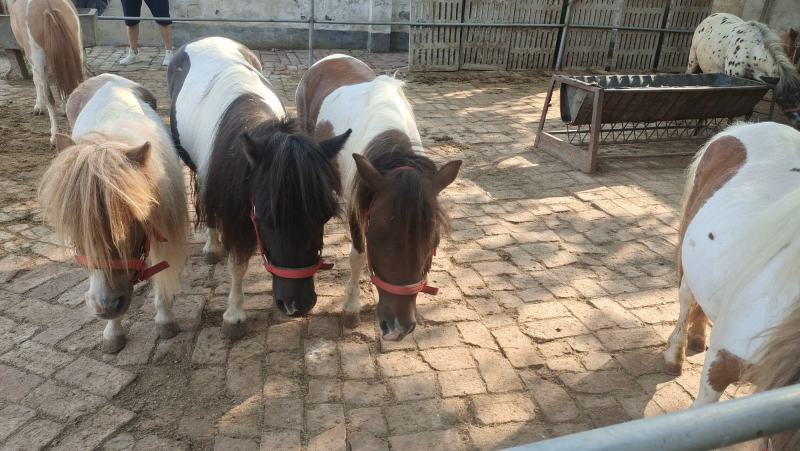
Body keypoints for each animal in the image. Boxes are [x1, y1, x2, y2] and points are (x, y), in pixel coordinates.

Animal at [8, 0, 84, 144]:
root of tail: (48, 8)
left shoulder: (34, 60)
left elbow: (36, 81)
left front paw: (38, 106)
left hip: (37, 57)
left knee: (49, 97)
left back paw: (54, 136)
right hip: (77, 53)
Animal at [38, 74, 189, 353]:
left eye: (132, 222)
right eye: (73, 227)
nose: (105, 307)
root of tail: (106, 78)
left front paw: (165, 320)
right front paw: (113, 331)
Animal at [168, 37, 350, 339]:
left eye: (323, 218)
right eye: (265, 220)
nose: (297, 305)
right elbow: (237, 263)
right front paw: (234, 316)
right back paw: (212, 246)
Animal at [295, 55, 461, 341]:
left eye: (434, 241)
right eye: (375, 237)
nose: (397, 328)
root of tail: (328, 59)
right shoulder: (356, 203)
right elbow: (358, 256)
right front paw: (352, 308)